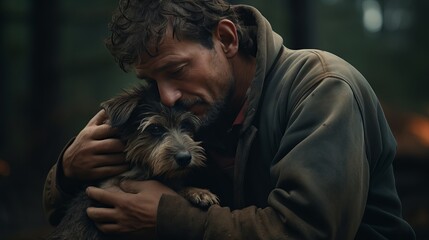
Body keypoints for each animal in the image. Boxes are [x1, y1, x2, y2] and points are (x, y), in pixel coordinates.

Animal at [48, 83, 219, 239]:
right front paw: (198, 192)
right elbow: (171, 187)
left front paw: (197, 192)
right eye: (155, 128)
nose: (185, 158)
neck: (138, 164)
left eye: (185, 125)